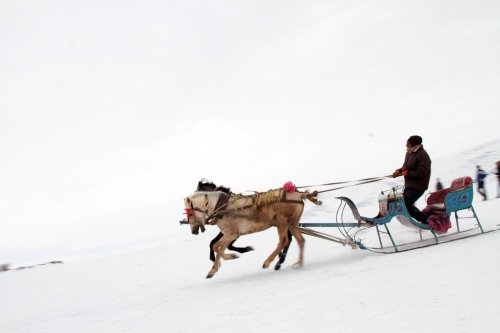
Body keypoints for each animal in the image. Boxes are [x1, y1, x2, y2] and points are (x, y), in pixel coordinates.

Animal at [186, 187, 322, 278]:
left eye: (190, 213)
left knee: (284, 242)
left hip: (282, 223)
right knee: (300, 240)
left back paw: (268, 262)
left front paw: (217, 267)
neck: (223, 207)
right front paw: (222, 263)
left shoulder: (232, 234)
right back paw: (299, 263)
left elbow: (217, 248)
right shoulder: (228, 234)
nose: (193, 231)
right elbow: (217, 247)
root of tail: (300, 194)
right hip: (292, 224)